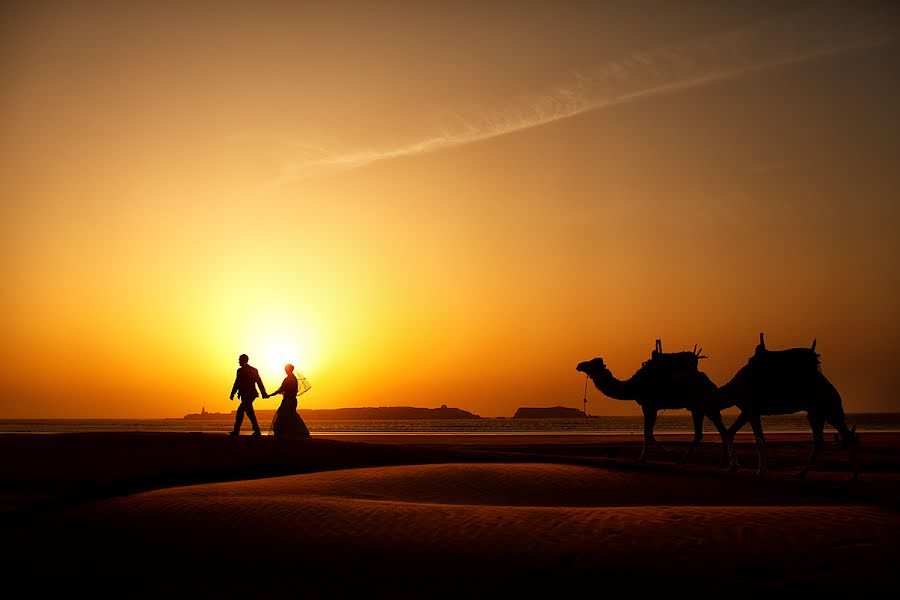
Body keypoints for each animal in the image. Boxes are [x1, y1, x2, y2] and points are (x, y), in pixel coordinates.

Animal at [576, 338, 732, 464]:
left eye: (592, 363)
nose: (579, 365)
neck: (633, 386)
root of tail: (711, 384)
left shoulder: (649, 405)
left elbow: (648, 434)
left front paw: (649, 457)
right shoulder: (652, 406)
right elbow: (648, 433)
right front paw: (644, 457)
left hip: (699, 406)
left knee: (704, 433)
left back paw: (684, 459)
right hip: (705, 406)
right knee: (720, 430)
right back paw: (723, 461)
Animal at [716, 332, 856, 478]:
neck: (734, 388)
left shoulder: (751, 409)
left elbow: (755, 439)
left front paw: (758, 471)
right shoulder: (749, 411)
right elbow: (736, 433)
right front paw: (737, 467)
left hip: (830, 408)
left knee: (846, 437)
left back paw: (853, 475)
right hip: (816, 413)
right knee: (821, 442)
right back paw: (801, 473)